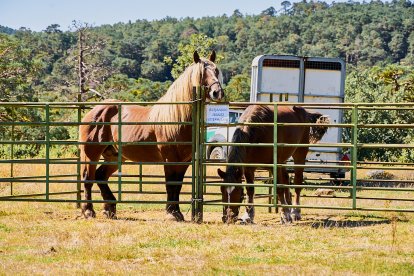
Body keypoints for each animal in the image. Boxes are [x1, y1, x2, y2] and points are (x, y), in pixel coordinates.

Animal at [80, 51, 223, 220]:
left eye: (216, 71)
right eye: (202, 73)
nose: (217, 92)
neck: (177, 118)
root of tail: (93, 112)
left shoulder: (184, 161)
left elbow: (178, 185)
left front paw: (177, 212)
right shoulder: (170, 159)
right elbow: (171, 184)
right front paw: (172, 213)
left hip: (114, 156)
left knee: (101, 176)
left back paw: (109, 209)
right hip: (91, 154)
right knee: (88, 178)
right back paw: (89, 211)